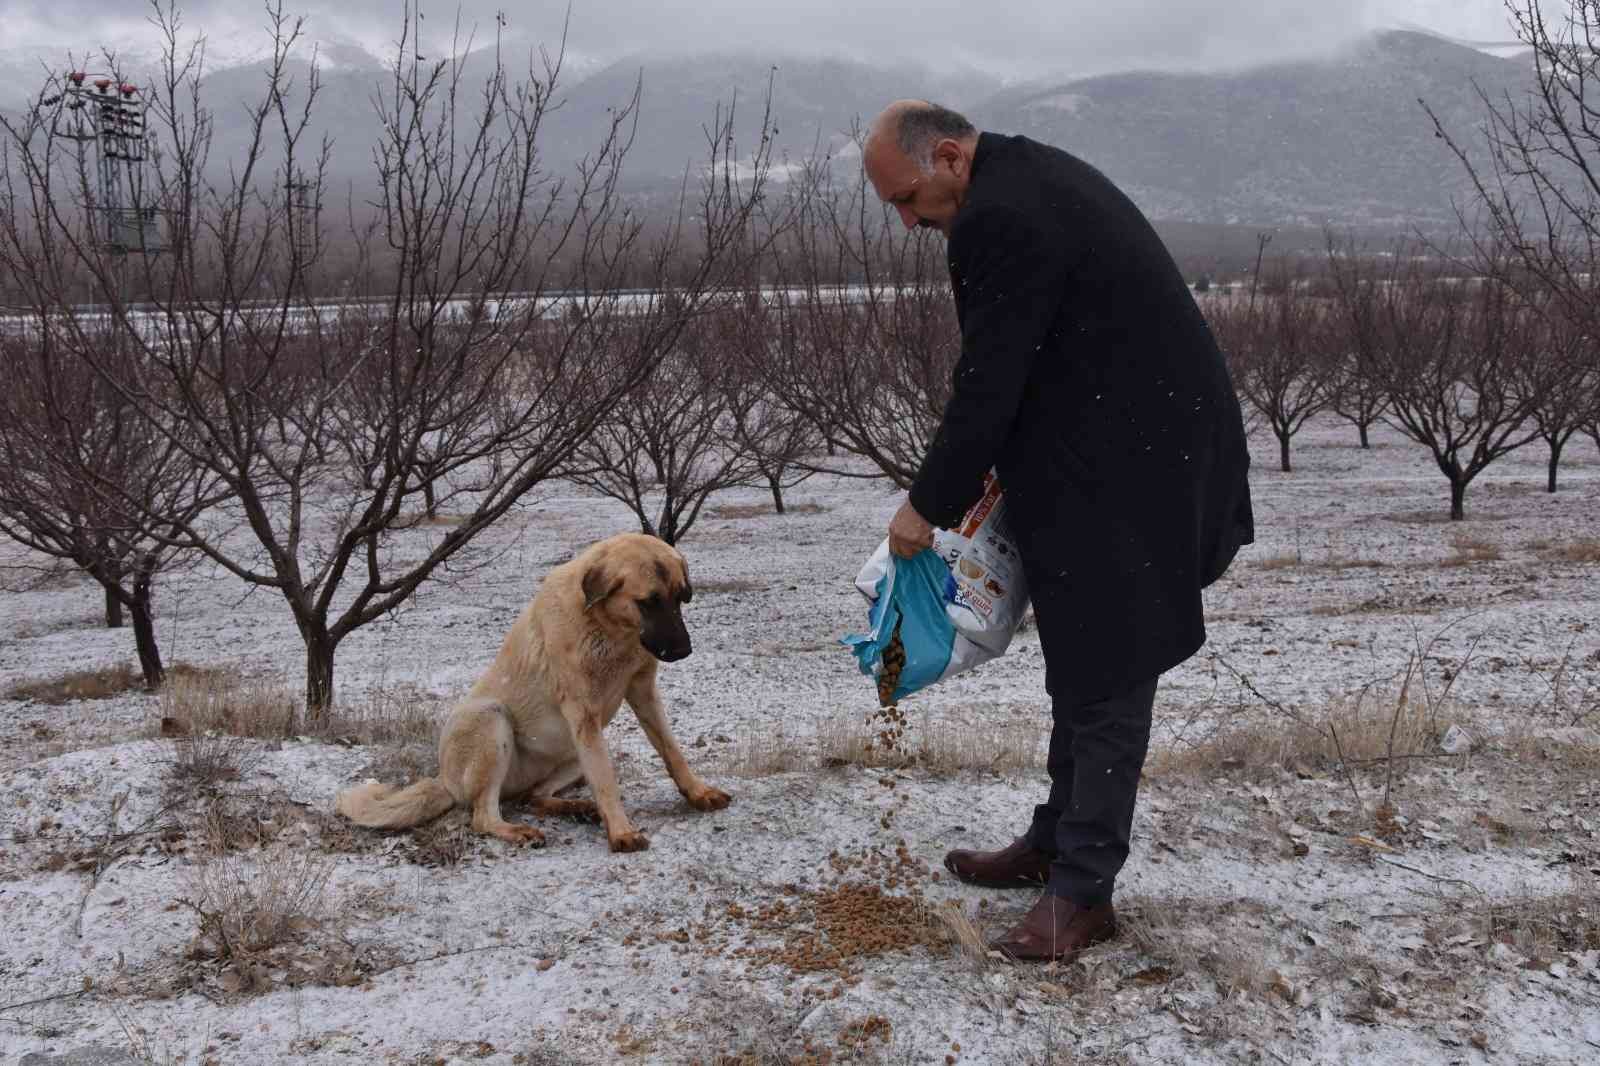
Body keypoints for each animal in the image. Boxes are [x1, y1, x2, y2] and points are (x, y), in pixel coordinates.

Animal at [344, 531, 736, 845]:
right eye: (648, 602)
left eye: (681, 598)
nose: (684, 650)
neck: (609, 629)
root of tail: (443, 780)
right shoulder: (583, 713)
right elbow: (606, 779)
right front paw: (622, 832)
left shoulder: (642, 694)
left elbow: (672, 751)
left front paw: (697, 793)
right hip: (492, 719)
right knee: (483, 815)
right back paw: (518, 830)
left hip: (574, 751)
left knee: (534, 795)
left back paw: (577, 807)